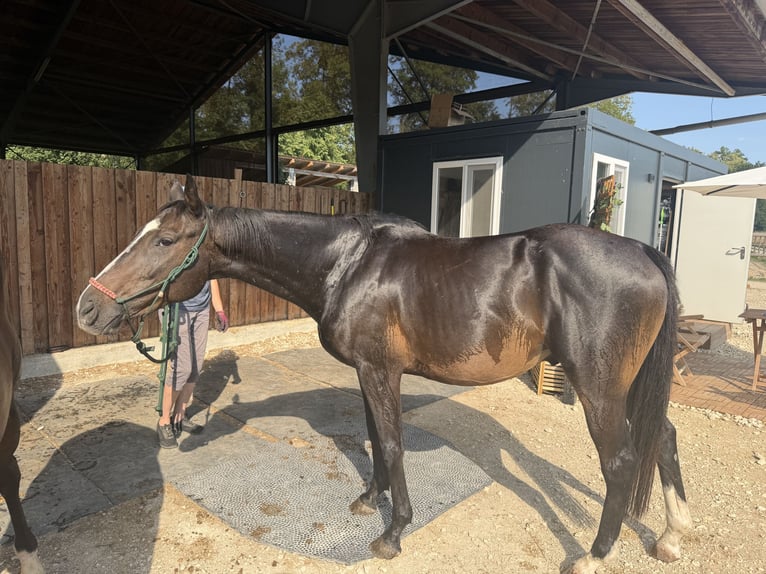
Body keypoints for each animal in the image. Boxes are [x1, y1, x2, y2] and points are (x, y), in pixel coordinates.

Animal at [76, 175, 691, 574]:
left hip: (600, 388)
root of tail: (642, 249)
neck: (346, 264)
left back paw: (595, 555)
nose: (88, 308)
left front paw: (394, 533)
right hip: (629, 386)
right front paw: (371, 500)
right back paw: (671, 536)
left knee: (621, 462)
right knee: (663, 436)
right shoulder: (368, 372)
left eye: (165, 240)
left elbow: (392, 443)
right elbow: (373, 436)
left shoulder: (379, 370)